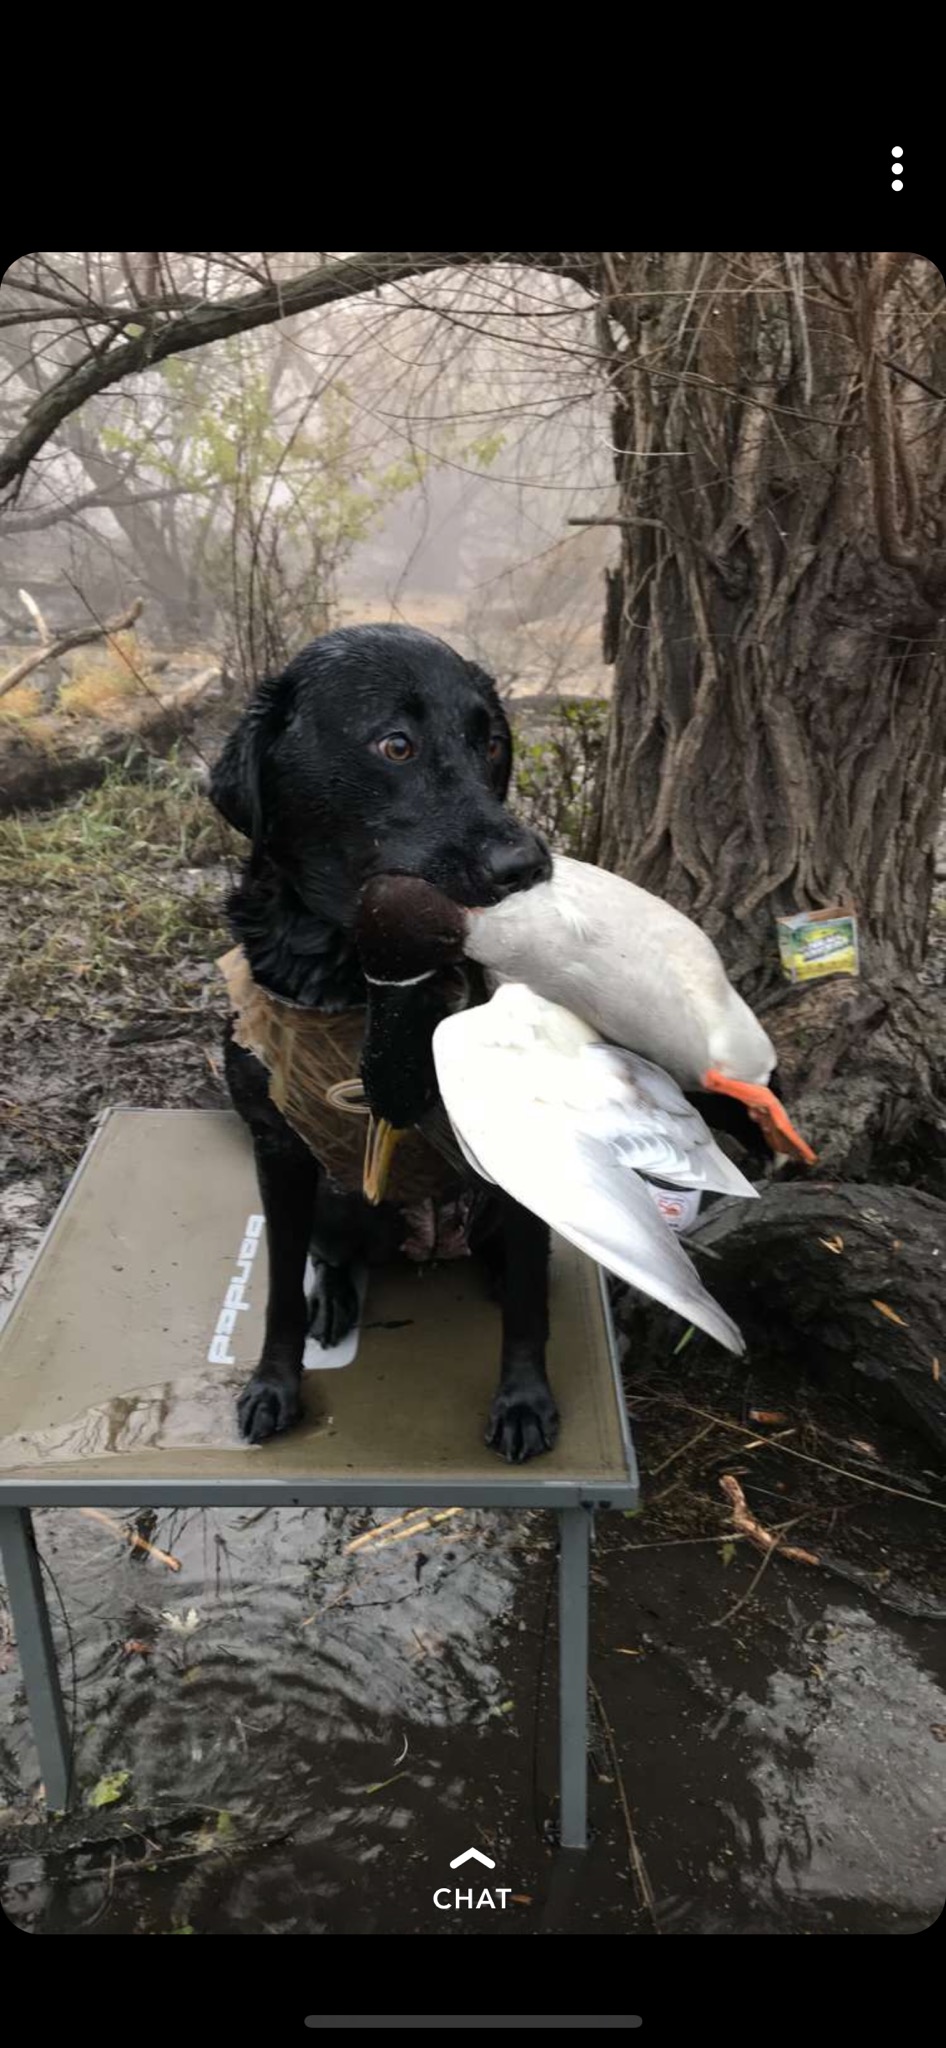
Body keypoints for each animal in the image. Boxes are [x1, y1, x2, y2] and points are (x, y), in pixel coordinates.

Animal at [208, 618, 552, 1458]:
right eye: (395, 745)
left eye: (491, 742)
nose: (527, 864)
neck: (360, 976)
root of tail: (430, 1244)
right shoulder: (277, 1148)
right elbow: (277, 1290)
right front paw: (274, 1383)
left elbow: (529, 1309)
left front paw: (524, 1399)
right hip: (334, 1198)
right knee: (330, 1255)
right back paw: (334, 1297)